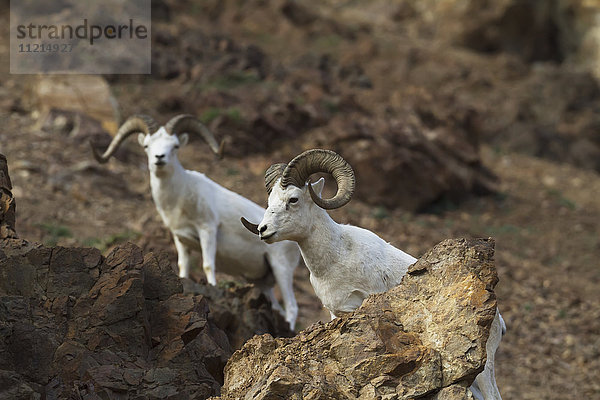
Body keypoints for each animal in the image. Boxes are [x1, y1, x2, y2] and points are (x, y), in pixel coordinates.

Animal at [94, 115, 302, 328]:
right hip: (263, 282)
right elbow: (183, 268)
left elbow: (208, 265)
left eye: (175, 146)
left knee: (292, 308)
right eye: (146, 146)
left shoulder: (207, 230)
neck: (179, 199)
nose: (159, 158)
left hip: (281, 269)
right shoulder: (181, 240)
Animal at [241, 148, 504, 398]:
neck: (336, 256)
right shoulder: (336, 314)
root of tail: (498, 323)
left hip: (484, 371)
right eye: (270, 200)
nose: (263, 230)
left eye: (293, 199)